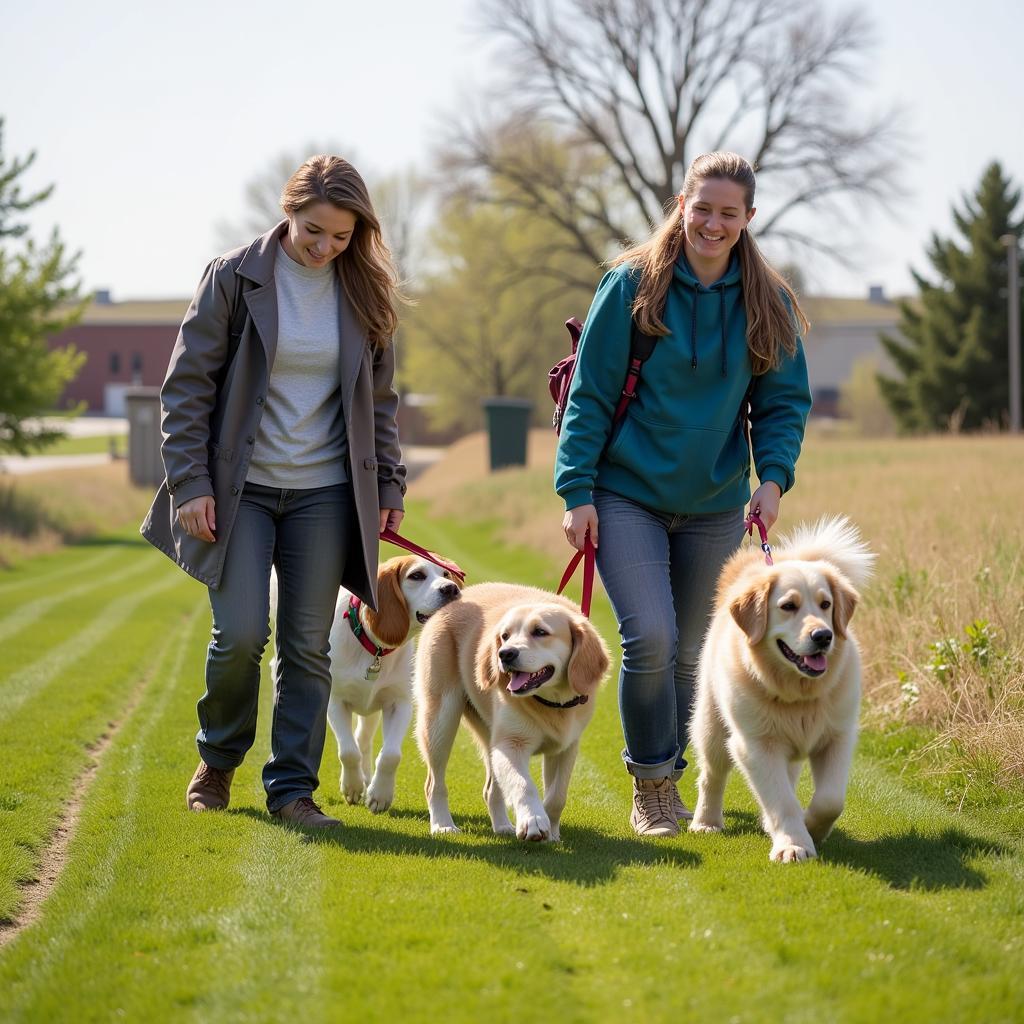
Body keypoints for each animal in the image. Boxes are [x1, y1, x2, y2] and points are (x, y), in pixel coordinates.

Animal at [413, 585, 606, 839]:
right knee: (433, 783)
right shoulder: (510, 745)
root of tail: (458, 596)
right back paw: (443, 824)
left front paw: (551, 832)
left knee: (491, 789)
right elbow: (523, 785)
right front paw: (533, 821)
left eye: (540, 632)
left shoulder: (565, 748)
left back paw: (503, 826)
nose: (504, 654)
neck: (550, 704)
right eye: (505, 636)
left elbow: (557, 797)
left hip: (488, 737)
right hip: (440, 721)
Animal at [688, 516, 872, 860]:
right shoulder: (756, 744)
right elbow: (781, 800)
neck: (798, 693)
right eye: (788, 606)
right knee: (712, 775)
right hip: (713, 727)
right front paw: (794, 844)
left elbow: (830, 800)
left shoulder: (838, 737)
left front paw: (811, 826)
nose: (823, 636)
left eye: (826, 604)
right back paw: (706, 822)